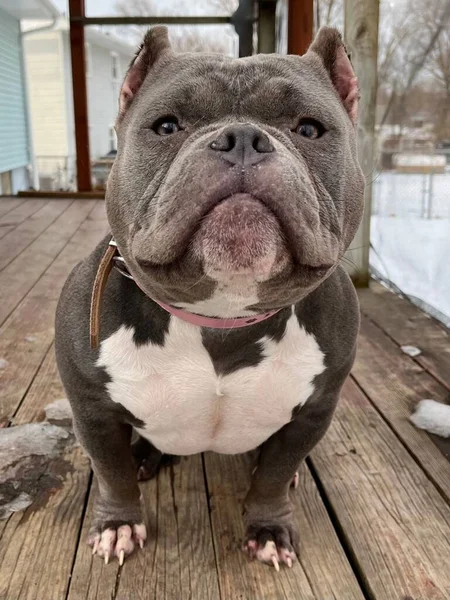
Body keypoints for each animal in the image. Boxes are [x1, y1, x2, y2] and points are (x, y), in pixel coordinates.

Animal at [55, 25, 366, 572]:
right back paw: (144, 458)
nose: (242, 138)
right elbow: (111, 473)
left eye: (309, 129)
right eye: (166, 126)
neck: (220, 319)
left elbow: (270, 477)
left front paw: (268, 528)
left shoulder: (314, 410)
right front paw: (118, 525)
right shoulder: (92, 410)